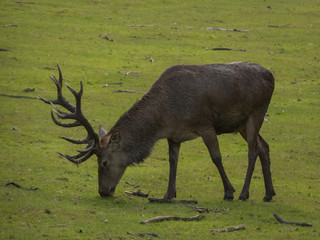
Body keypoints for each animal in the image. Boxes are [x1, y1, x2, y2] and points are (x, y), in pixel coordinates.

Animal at [39, 62, 276, 202]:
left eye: (104, 162)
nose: (102, 191)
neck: (165, 116)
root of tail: (271, 75)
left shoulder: (205, 124)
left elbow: (216, 157)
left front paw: (228, 191)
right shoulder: (174, 135)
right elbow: (173, 162)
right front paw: (168, 194)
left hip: (257, 112)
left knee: (253, 150)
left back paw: (244, 193)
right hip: (242, 124)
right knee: (264, 146)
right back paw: (269, 193)